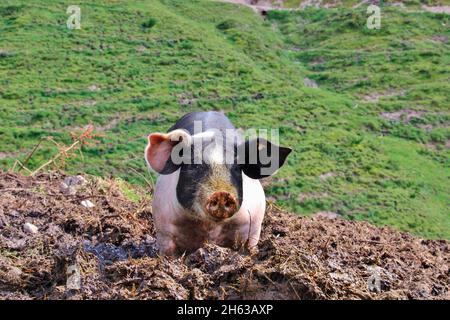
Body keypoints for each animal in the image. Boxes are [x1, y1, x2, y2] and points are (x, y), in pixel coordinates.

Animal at [145, 111, 292, 256]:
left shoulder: (254, 225)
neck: (210, 227)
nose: (222, 193)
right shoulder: (163, 228)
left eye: (237, 168)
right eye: (194, 165)